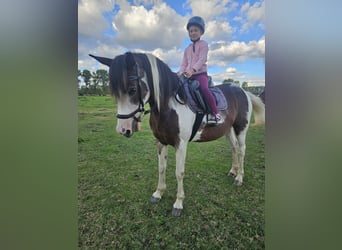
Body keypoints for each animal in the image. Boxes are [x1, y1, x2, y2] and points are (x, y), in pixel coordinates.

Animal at [89, 51, 264, 216]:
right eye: (114, 93)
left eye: (132, 89)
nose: (122, 129)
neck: (169, 105)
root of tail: (243, 91)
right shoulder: (160, 142)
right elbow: (161, 168)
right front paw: (158, 193)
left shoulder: (181, 144)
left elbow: (179, 173)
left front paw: (178, 204)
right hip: (227, 129)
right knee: (234, 148)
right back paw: (233, 171)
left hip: (241, 128)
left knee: (241, 150)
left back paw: (239, 178)